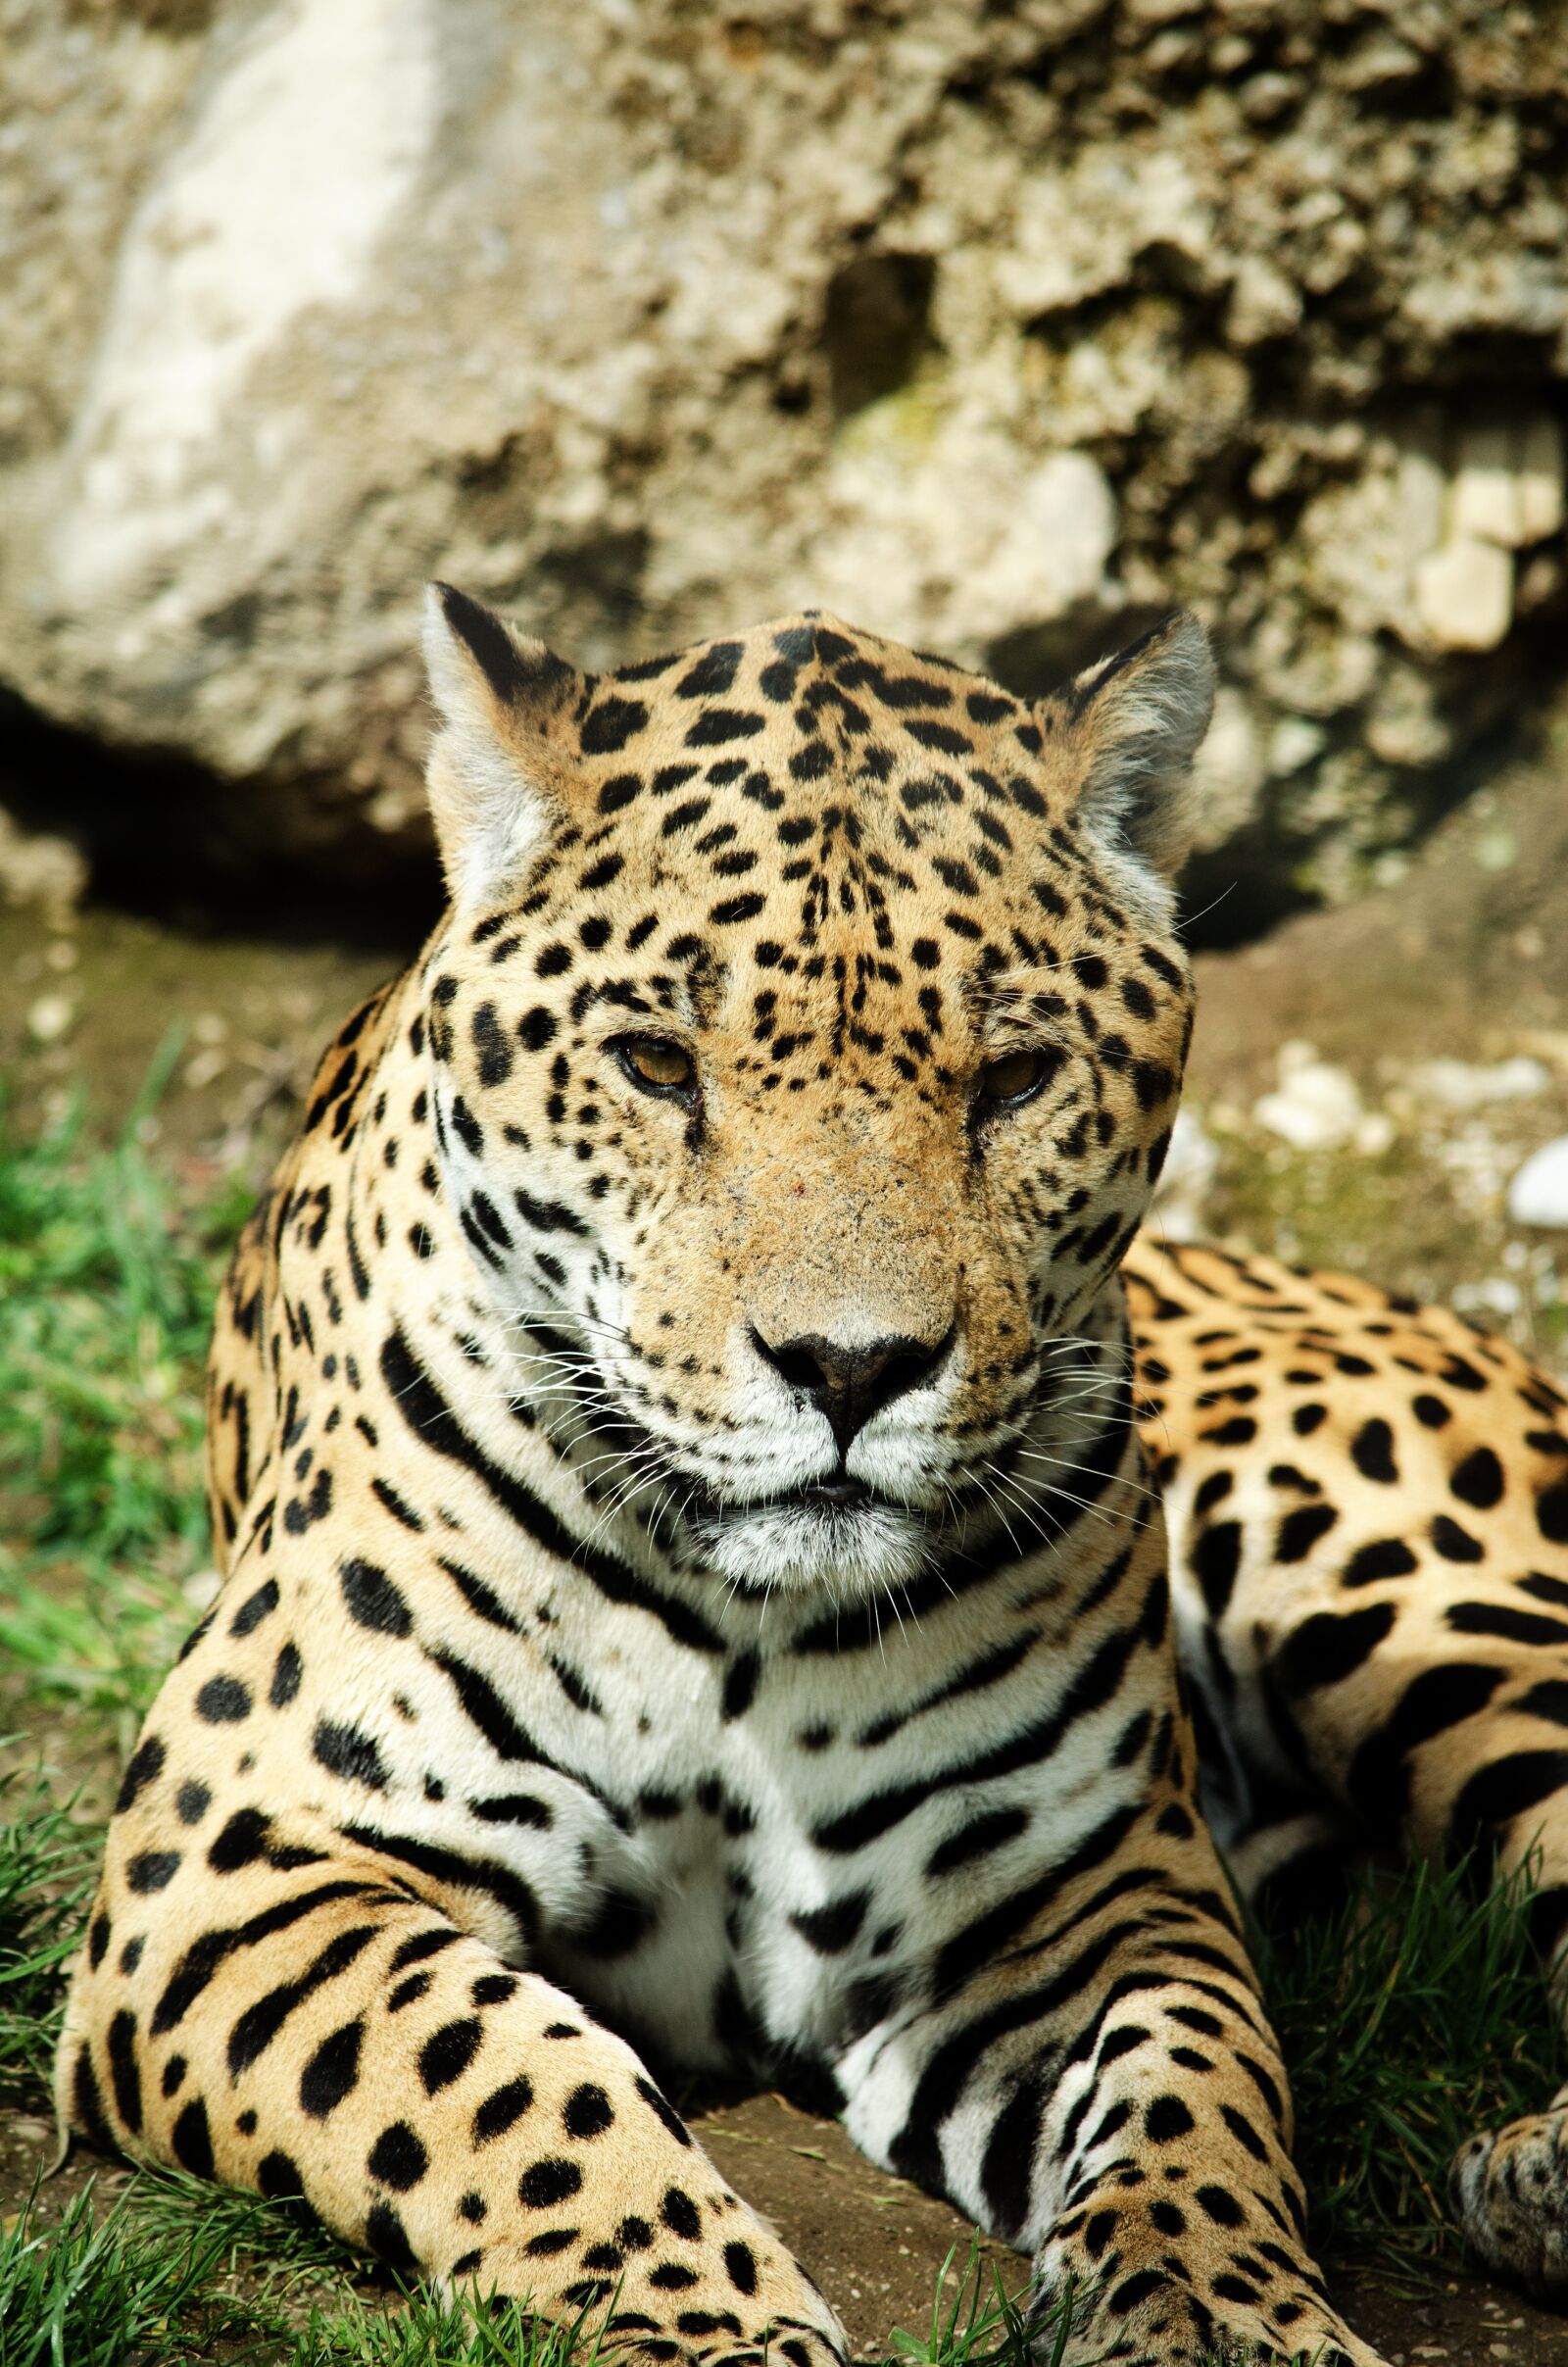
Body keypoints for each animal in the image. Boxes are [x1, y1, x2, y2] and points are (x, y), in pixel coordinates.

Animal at [56, 586, 1568, 2367]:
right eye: (654, 1064)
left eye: (1015, 1078)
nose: (851, 1369)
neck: (741, 1629)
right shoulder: (244, 1856)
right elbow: (509, 2079)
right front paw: (724, 2329)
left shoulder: (1088, 1895)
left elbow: (1195, 2088)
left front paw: (1220, 2315)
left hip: (1388, 1590)